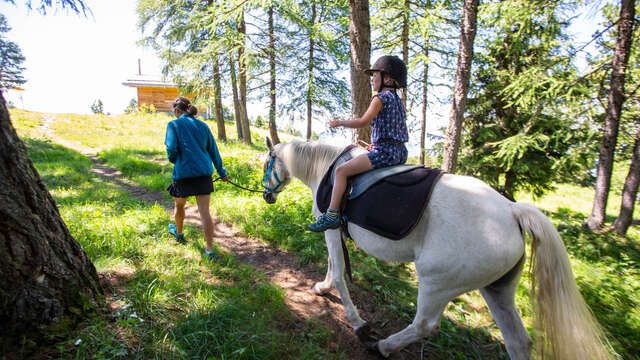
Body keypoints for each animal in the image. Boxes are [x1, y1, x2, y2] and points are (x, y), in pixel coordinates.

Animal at [262, 139, 616, 360]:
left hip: (437, 283)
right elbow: (332, 268)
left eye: (268, 162)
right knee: (518, 341)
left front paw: (358, 323)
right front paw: (321, 288)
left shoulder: (331, 229)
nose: (266, 194)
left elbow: (339, 273)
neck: (327, 169)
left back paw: (384, 346)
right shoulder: (334, 233)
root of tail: (513, 212)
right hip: (497, 289)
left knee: (425, 325)